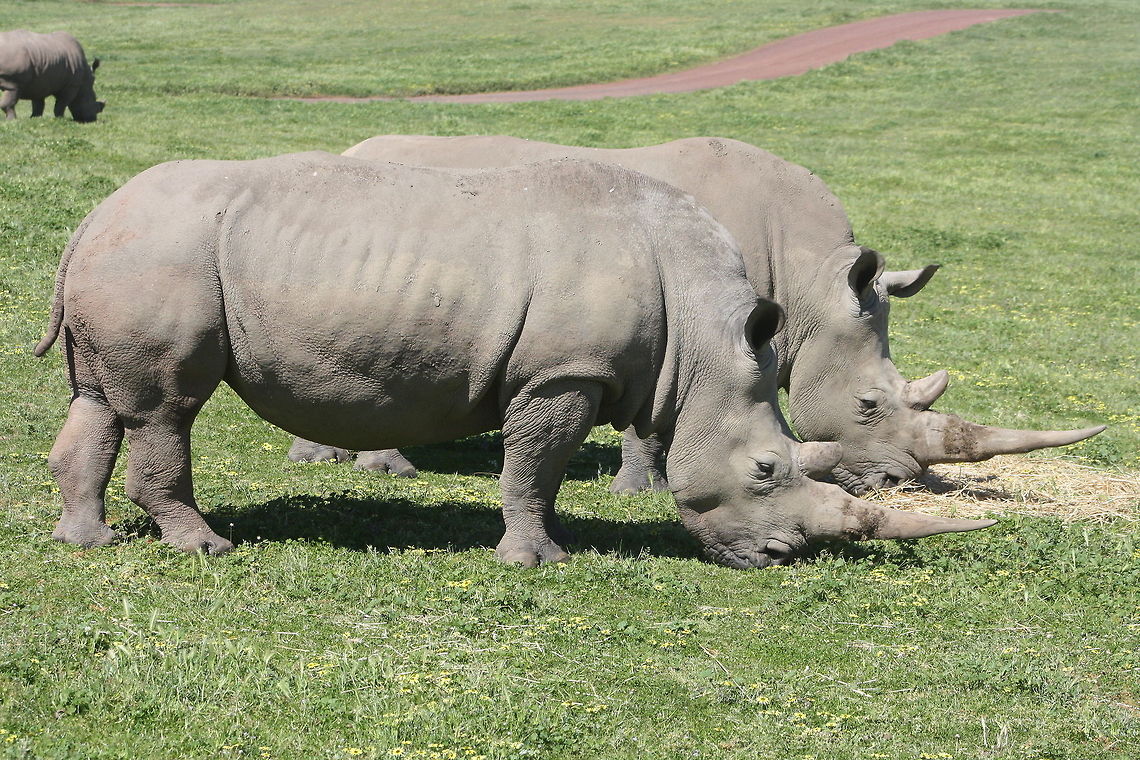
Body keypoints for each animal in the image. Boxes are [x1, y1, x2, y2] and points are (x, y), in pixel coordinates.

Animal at [35, 153, 993, 567]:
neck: (706, 339)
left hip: (134, 254)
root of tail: (90, 218)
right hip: (159, 255)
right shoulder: (562, 370)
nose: (784, 554)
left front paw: (550, 543)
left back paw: (87, 541)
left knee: (101, 401)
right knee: (167, 407)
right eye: (766, 470)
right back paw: (205, 547)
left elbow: (542, 469)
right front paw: (539, 562)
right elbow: (534, 465)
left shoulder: (580, 370)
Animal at [308, 135, 1103, 494]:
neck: (812, 285)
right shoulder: (682, 323)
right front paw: (645, 489)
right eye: (870, 405)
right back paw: (390, 469)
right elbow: (647, 417)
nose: (898, 483)